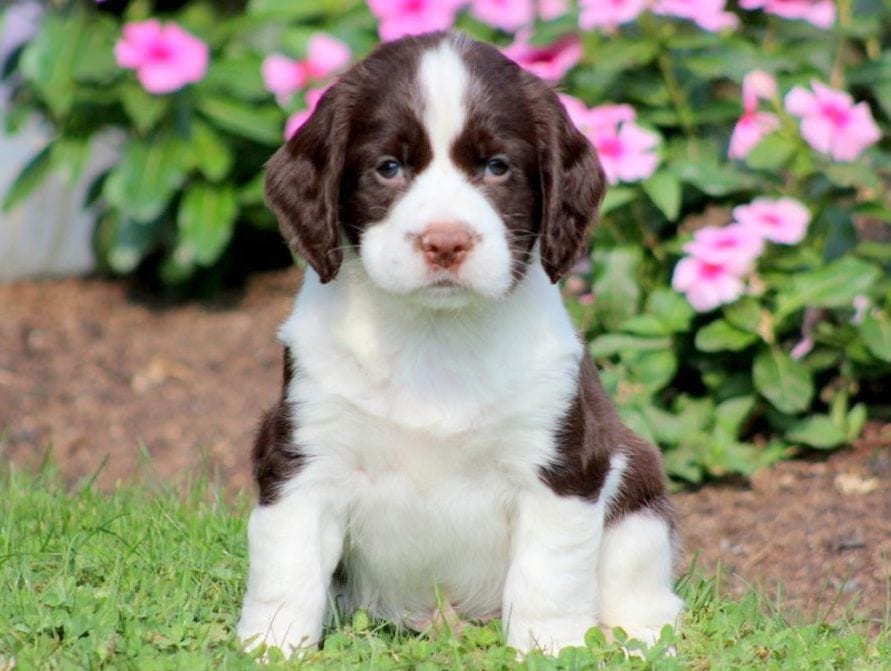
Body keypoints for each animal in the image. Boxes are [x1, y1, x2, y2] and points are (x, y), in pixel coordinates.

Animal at [237, 30, 684, 656]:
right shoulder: (303, 456)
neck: (434, 335)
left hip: (637, 492)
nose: (445, 242)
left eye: (497, 167)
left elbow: (549, 573)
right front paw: (272, 645)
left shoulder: (561, 465)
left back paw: (635, 637)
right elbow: (287, 566)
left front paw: (551, 650)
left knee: (645, 585)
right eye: (389, 168)